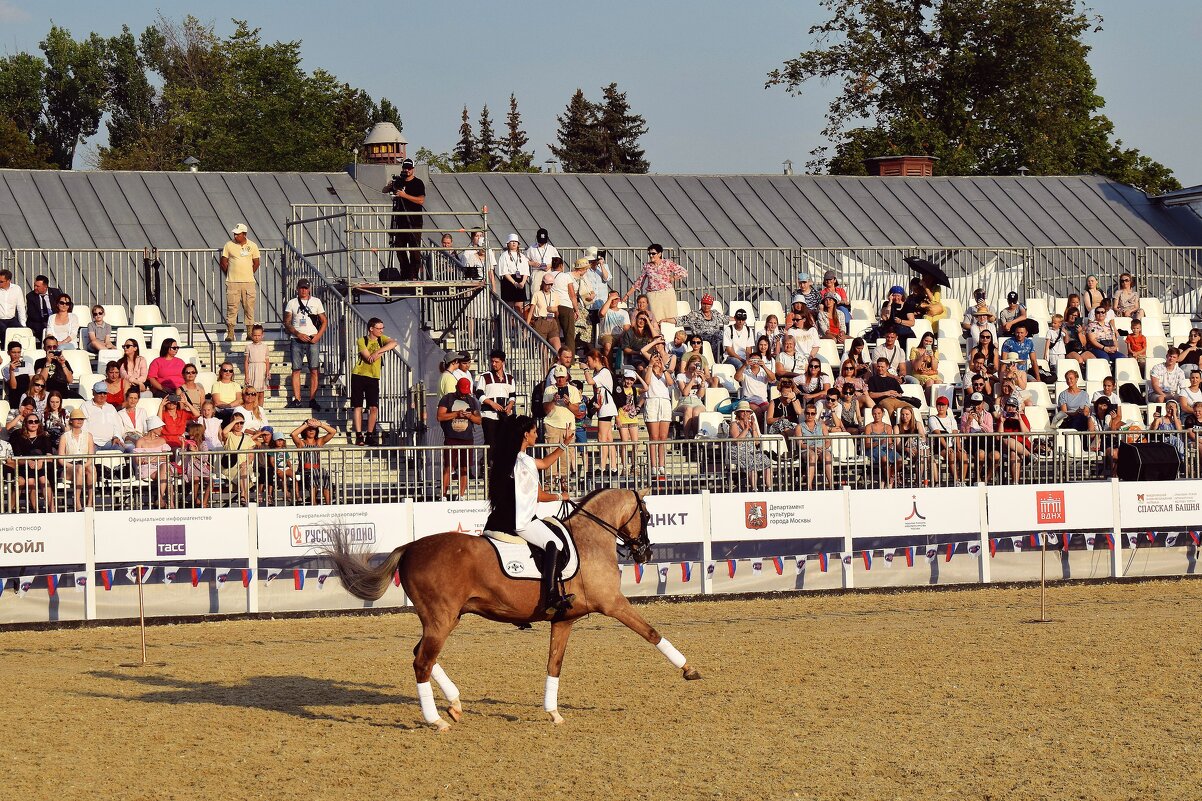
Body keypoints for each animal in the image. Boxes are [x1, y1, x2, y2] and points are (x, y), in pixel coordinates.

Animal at [324, 485, 701, 731]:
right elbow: (651, 632)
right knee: (422, 661)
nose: (646, 553)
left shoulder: (565, 620)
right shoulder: (614, 604)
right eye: (647, 515)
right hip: (441, 618)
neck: (589, 540)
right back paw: (437, 720)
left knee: (422, 655)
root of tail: (411, 547)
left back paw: (455, 704)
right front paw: (689, 669)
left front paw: (553, 712)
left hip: (444, 618)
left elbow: (554, 664)